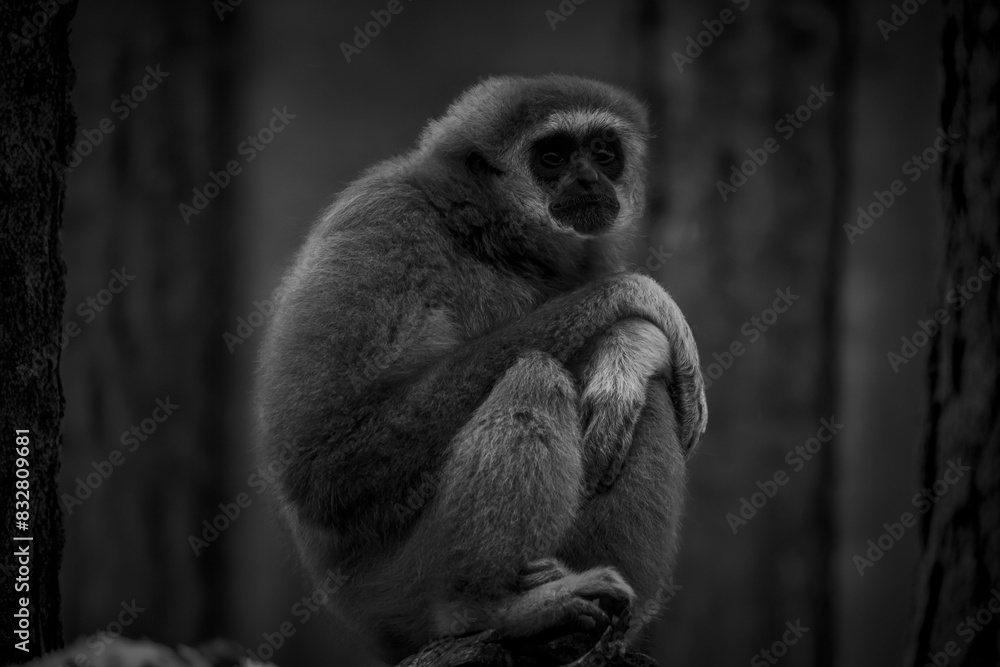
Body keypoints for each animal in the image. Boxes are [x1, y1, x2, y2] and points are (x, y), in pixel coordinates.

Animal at [255, 74, 707, 663]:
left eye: (604, 152)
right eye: (552, 156)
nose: (588, 176)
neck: (487, 234)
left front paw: (629, 345)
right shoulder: (383, 222)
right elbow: (323, 460)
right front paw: (640, 306)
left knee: (634, 397)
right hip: (395, 588)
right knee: (535, 376)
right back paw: (495, 608)